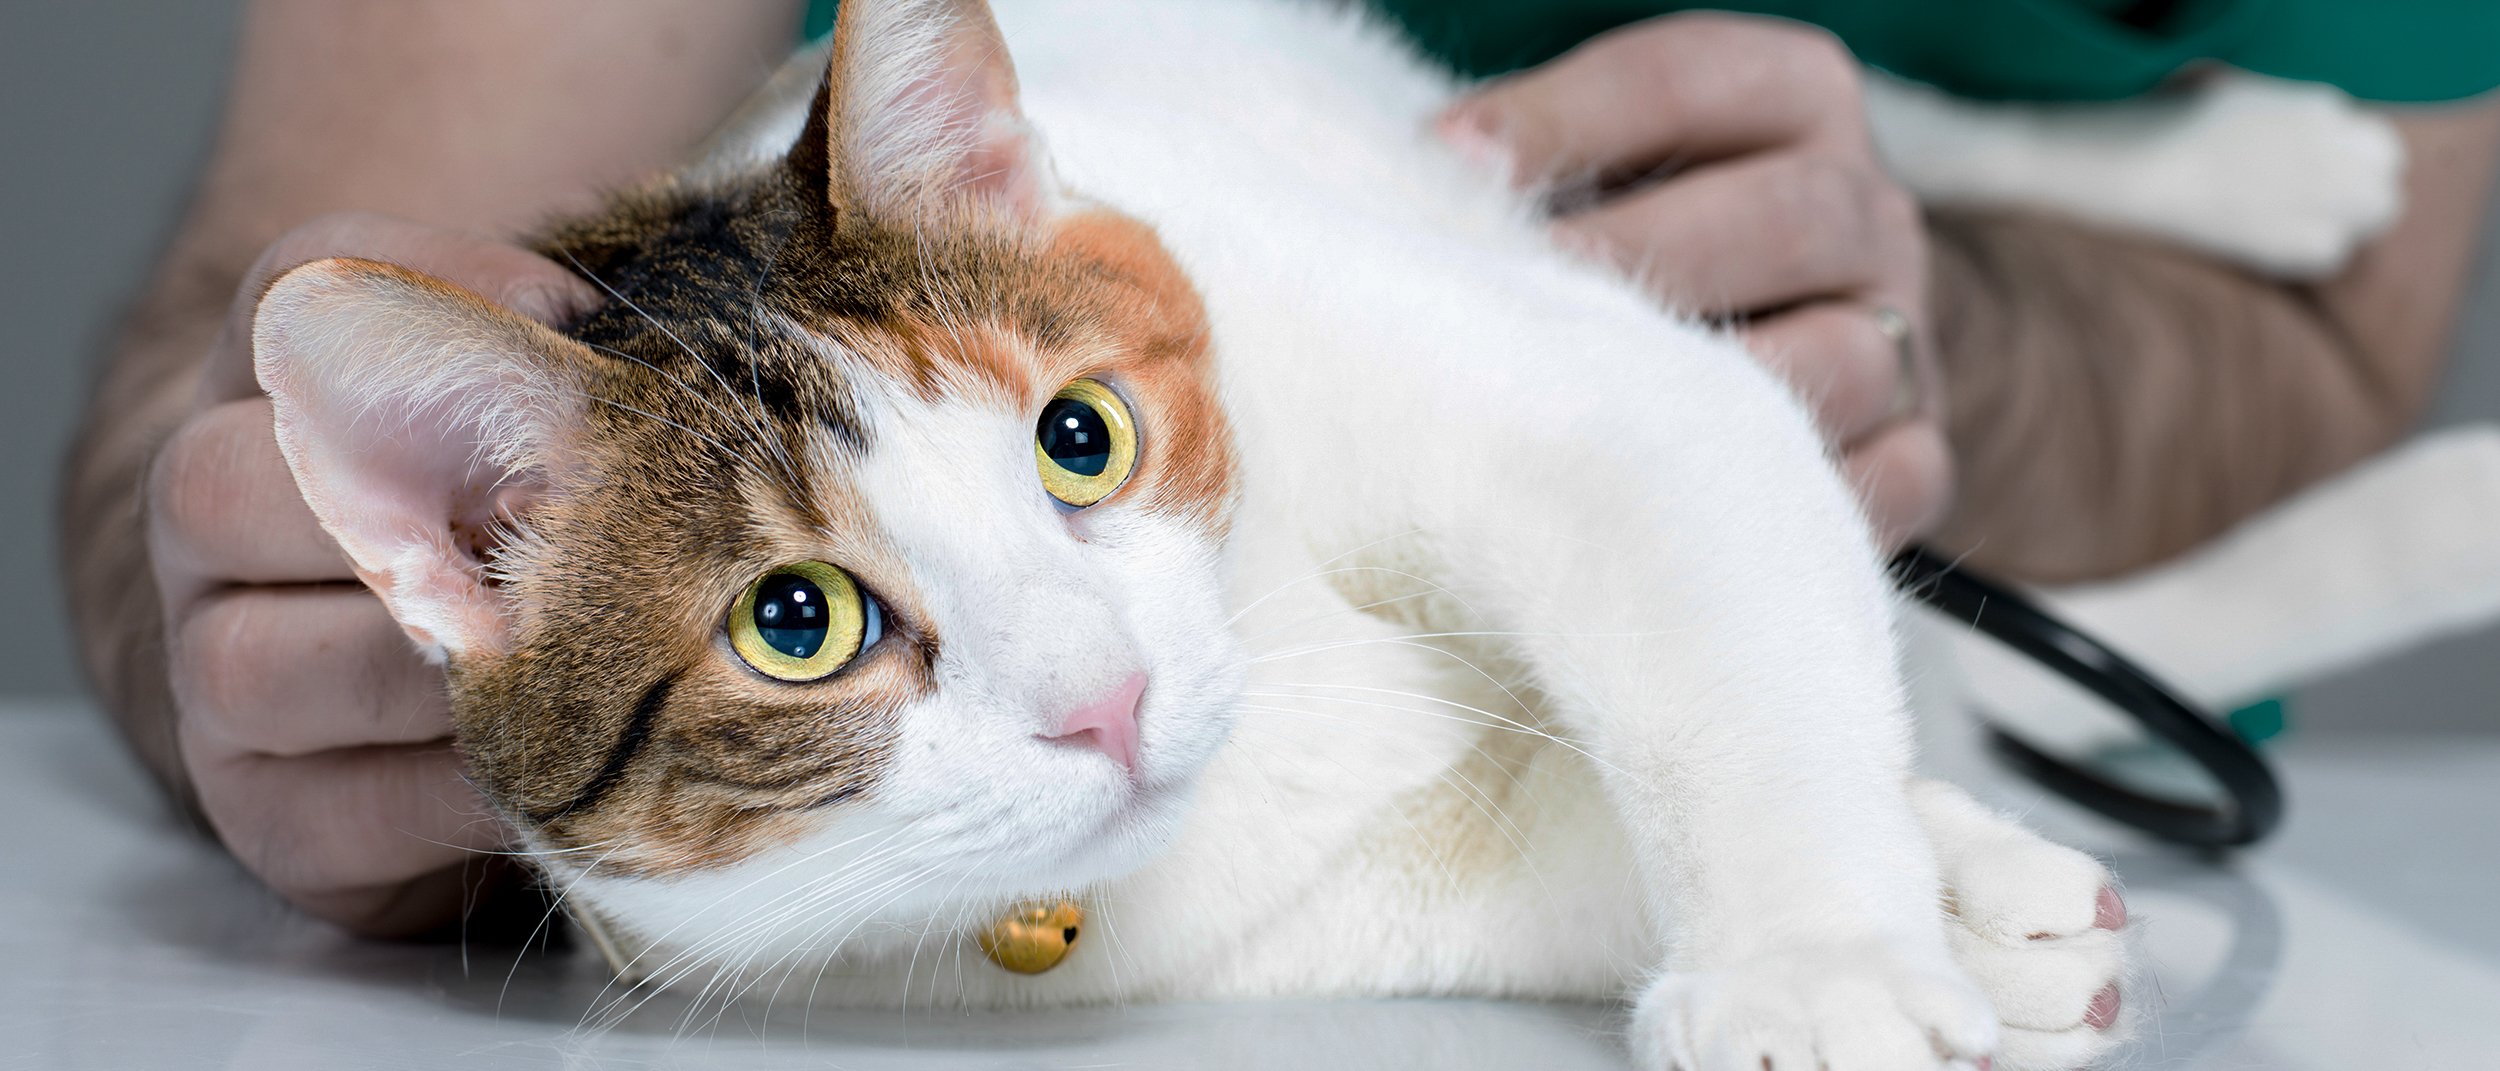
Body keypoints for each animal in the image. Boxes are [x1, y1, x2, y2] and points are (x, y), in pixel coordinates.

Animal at [248, 2, 2130, 1071]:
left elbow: (1706, 584)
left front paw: (1825, 957)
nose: (1112, 700)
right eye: (796, 623)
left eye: (1080, 439)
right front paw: (1950, 904)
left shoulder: (1583, 397)